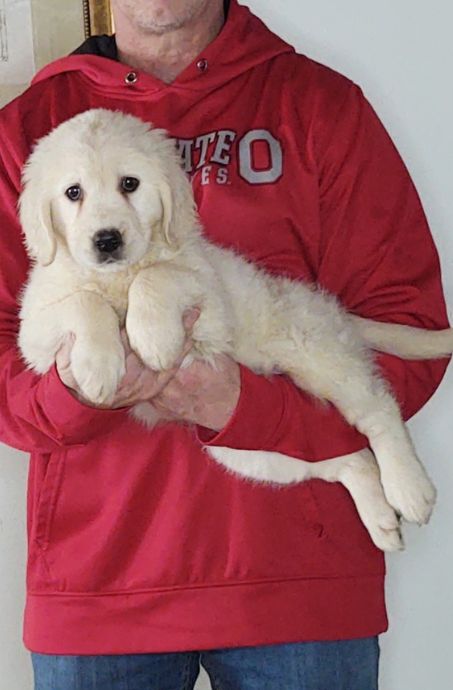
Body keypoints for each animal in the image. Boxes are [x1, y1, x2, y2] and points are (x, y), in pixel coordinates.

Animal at [16, 109, 448, 548]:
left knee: (378, 406)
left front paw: (153, 338)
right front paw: (98, 367)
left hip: (312, 350)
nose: (107, 241)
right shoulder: (34, 328)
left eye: (130, 184)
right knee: (346, 458)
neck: (118, 277)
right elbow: (83, 301)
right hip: (245, 442)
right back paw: (382, 522)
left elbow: (158, 275)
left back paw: (410, 490)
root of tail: (332, 313)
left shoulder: (208, 296)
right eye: (73, 192)